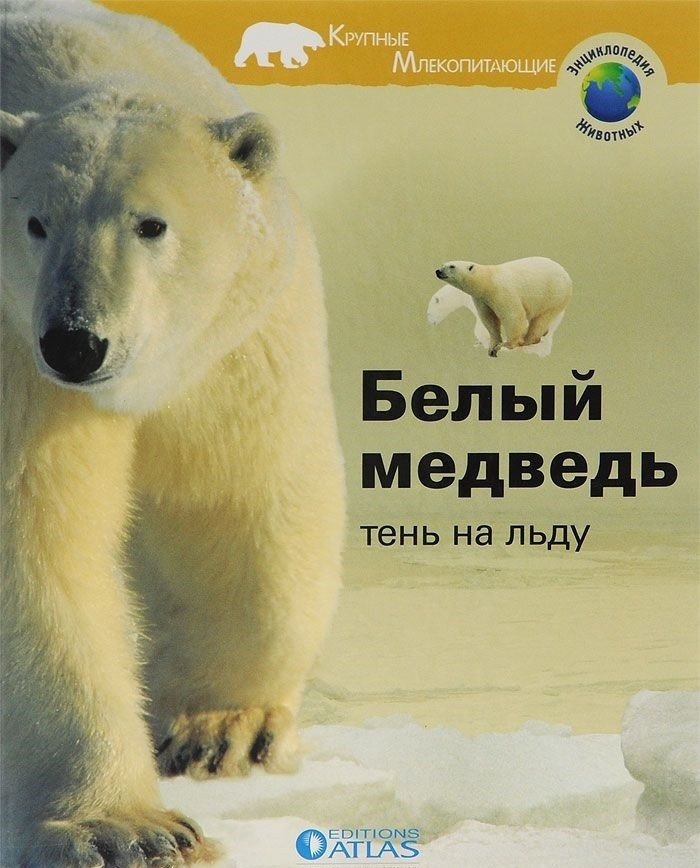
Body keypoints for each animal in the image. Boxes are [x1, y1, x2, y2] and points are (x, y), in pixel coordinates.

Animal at [0, 1, 345, 866]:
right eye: (35, 222)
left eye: (151, 224)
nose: (77, 342)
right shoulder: (16, 352)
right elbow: (37, 544)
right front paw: (127, 829)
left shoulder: (235, 341)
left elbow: (236, 497)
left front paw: (219, 730)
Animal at [434, 257, 573, 357]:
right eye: (442, 264)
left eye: (452, 266)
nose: (438, 271)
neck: (488, 281)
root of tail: (566, 274)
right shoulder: (482, 300)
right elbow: (489, 319)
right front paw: (492, 347)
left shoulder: (502, 291)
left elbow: (513, 315)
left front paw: (507, 344)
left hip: (553, 293)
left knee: (541, 318)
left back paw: (529, 339)